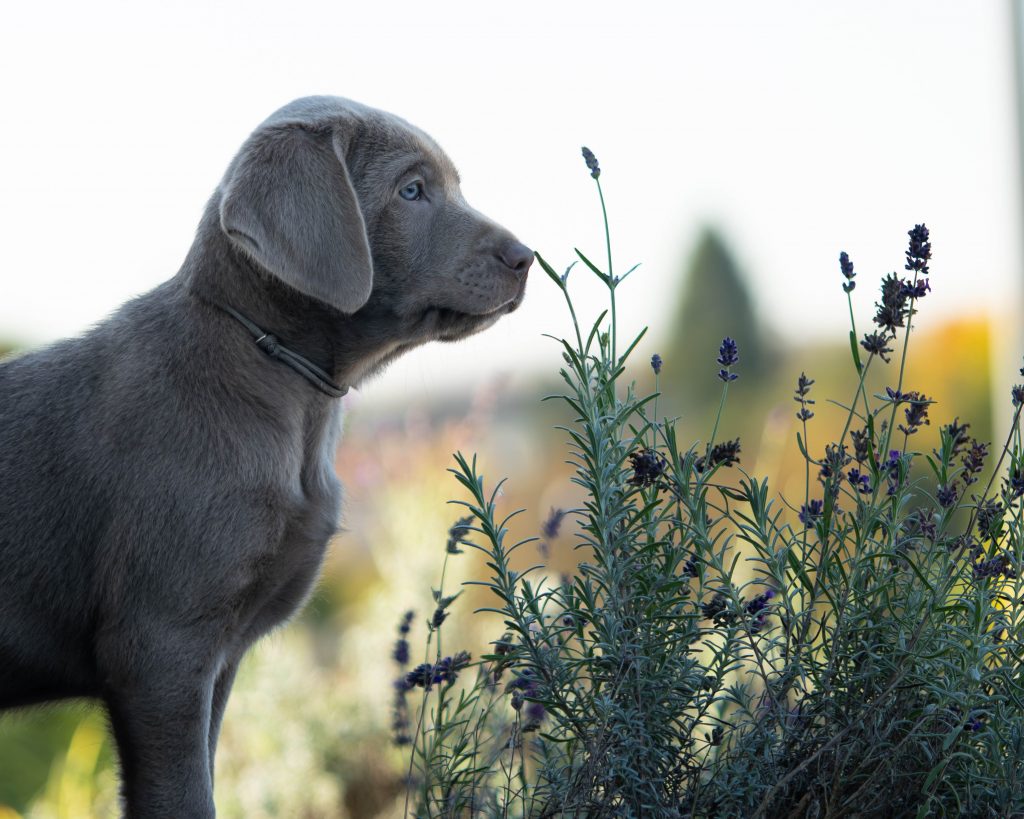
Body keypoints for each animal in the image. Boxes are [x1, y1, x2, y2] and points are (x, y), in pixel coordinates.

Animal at [0, 96, 532, 817]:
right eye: (412, 190)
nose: (527, 258)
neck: (283, 379)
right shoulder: (159, 648)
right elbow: (184, 795)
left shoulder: (215, 657)